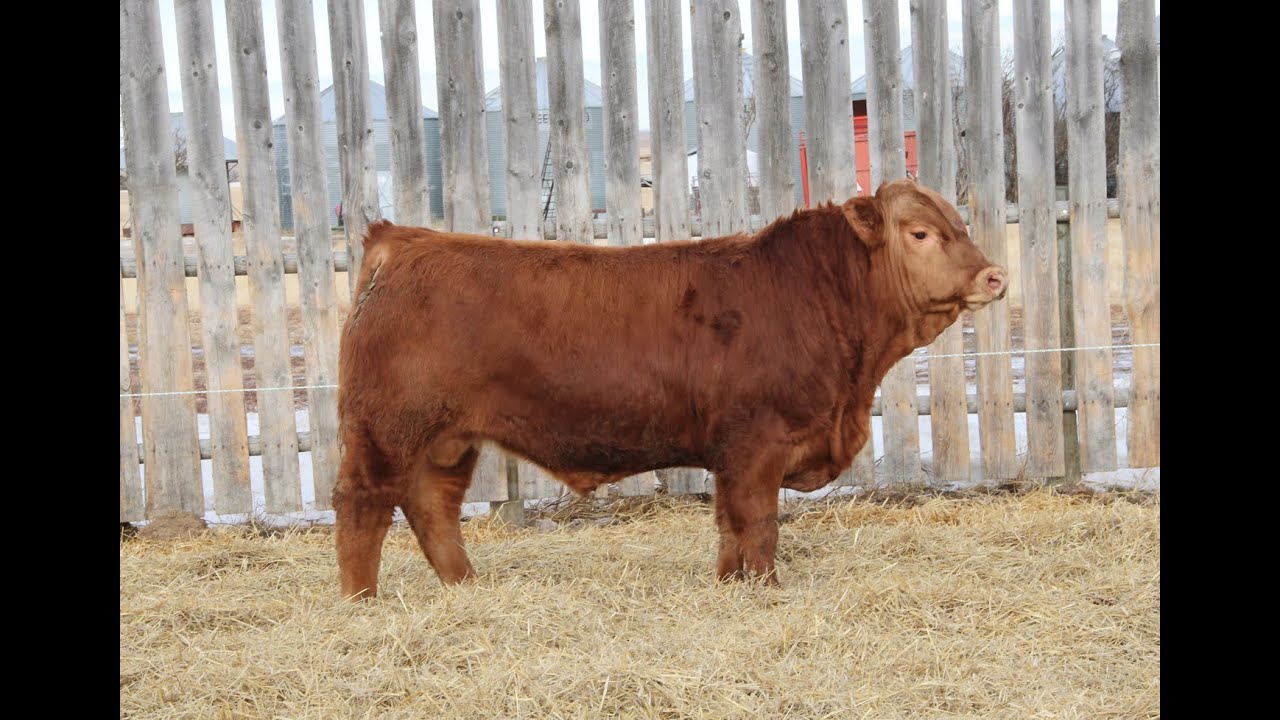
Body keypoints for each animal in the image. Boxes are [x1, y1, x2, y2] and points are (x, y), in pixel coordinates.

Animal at [334, 178, 1007, 599]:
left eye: (960, 223)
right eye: (920, 233)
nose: (994, 276)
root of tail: (404, 240)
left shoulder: (731, 455)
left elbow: (729, 526)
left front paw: (731, 586)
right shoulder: (756, 445)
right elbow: (759, 524)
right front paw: (769, 591)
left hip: (446, 439)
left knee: (431, 506)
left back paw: (465, 587)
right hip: (387, 428)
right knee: (363, 503)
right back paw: (361, 602)